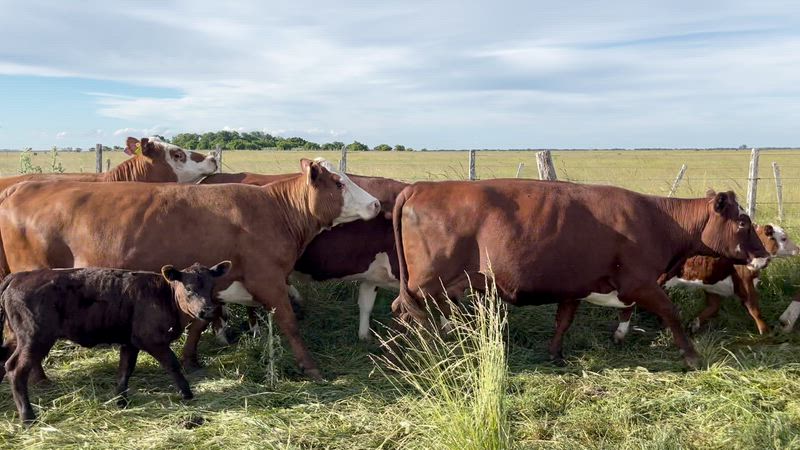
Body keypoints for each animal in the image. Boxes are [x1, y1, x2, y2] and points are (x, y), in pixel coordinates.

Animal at [0, 159, 380, 380]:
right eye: (339, 183)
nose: (376, 204)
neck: (273, 210)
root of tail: (23, 186)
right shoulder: (268, 278)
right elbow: (289, 323)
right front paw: (310, 367)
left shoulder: (213, 282)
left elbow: (200, 322)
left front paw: (190, 359)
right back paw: (38, 379)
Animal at [0, 261, 231, 423]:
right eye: (189, 289)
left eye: (212, 287)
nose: (207, 310)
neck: (164, 296)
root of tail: (19, 276)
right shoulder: (151, 339)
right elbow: (172, 364)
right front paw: (186, 393)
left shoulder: (130, 342)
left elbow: (125, 369)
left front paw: (120, 400)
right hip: (34, 338)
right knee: (15, 370)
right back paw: (28, 417)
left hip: (16, 338)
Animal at [390, 179, 770, 368]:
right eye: (742, 222)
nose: (764, 255)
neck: (657, 220)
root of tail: (419, 187)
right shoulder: (641, 282)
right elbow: (670, 313)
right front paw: (690, 356)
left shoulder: (575, 287)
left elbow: (564, 321)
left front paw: (557, 354)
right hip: (427, 281)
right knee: (407, 311)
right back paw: (420, 351)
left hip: (431, 284)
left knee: (405, 310)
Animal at [613, 224, 799, 341]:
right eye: (783, 238)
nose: (797, 249)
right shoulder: (746, 284)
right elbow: (755, 310)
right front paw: (766, 332)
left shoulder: (713, 287)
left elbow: (712, 308)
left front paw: (694, 325)